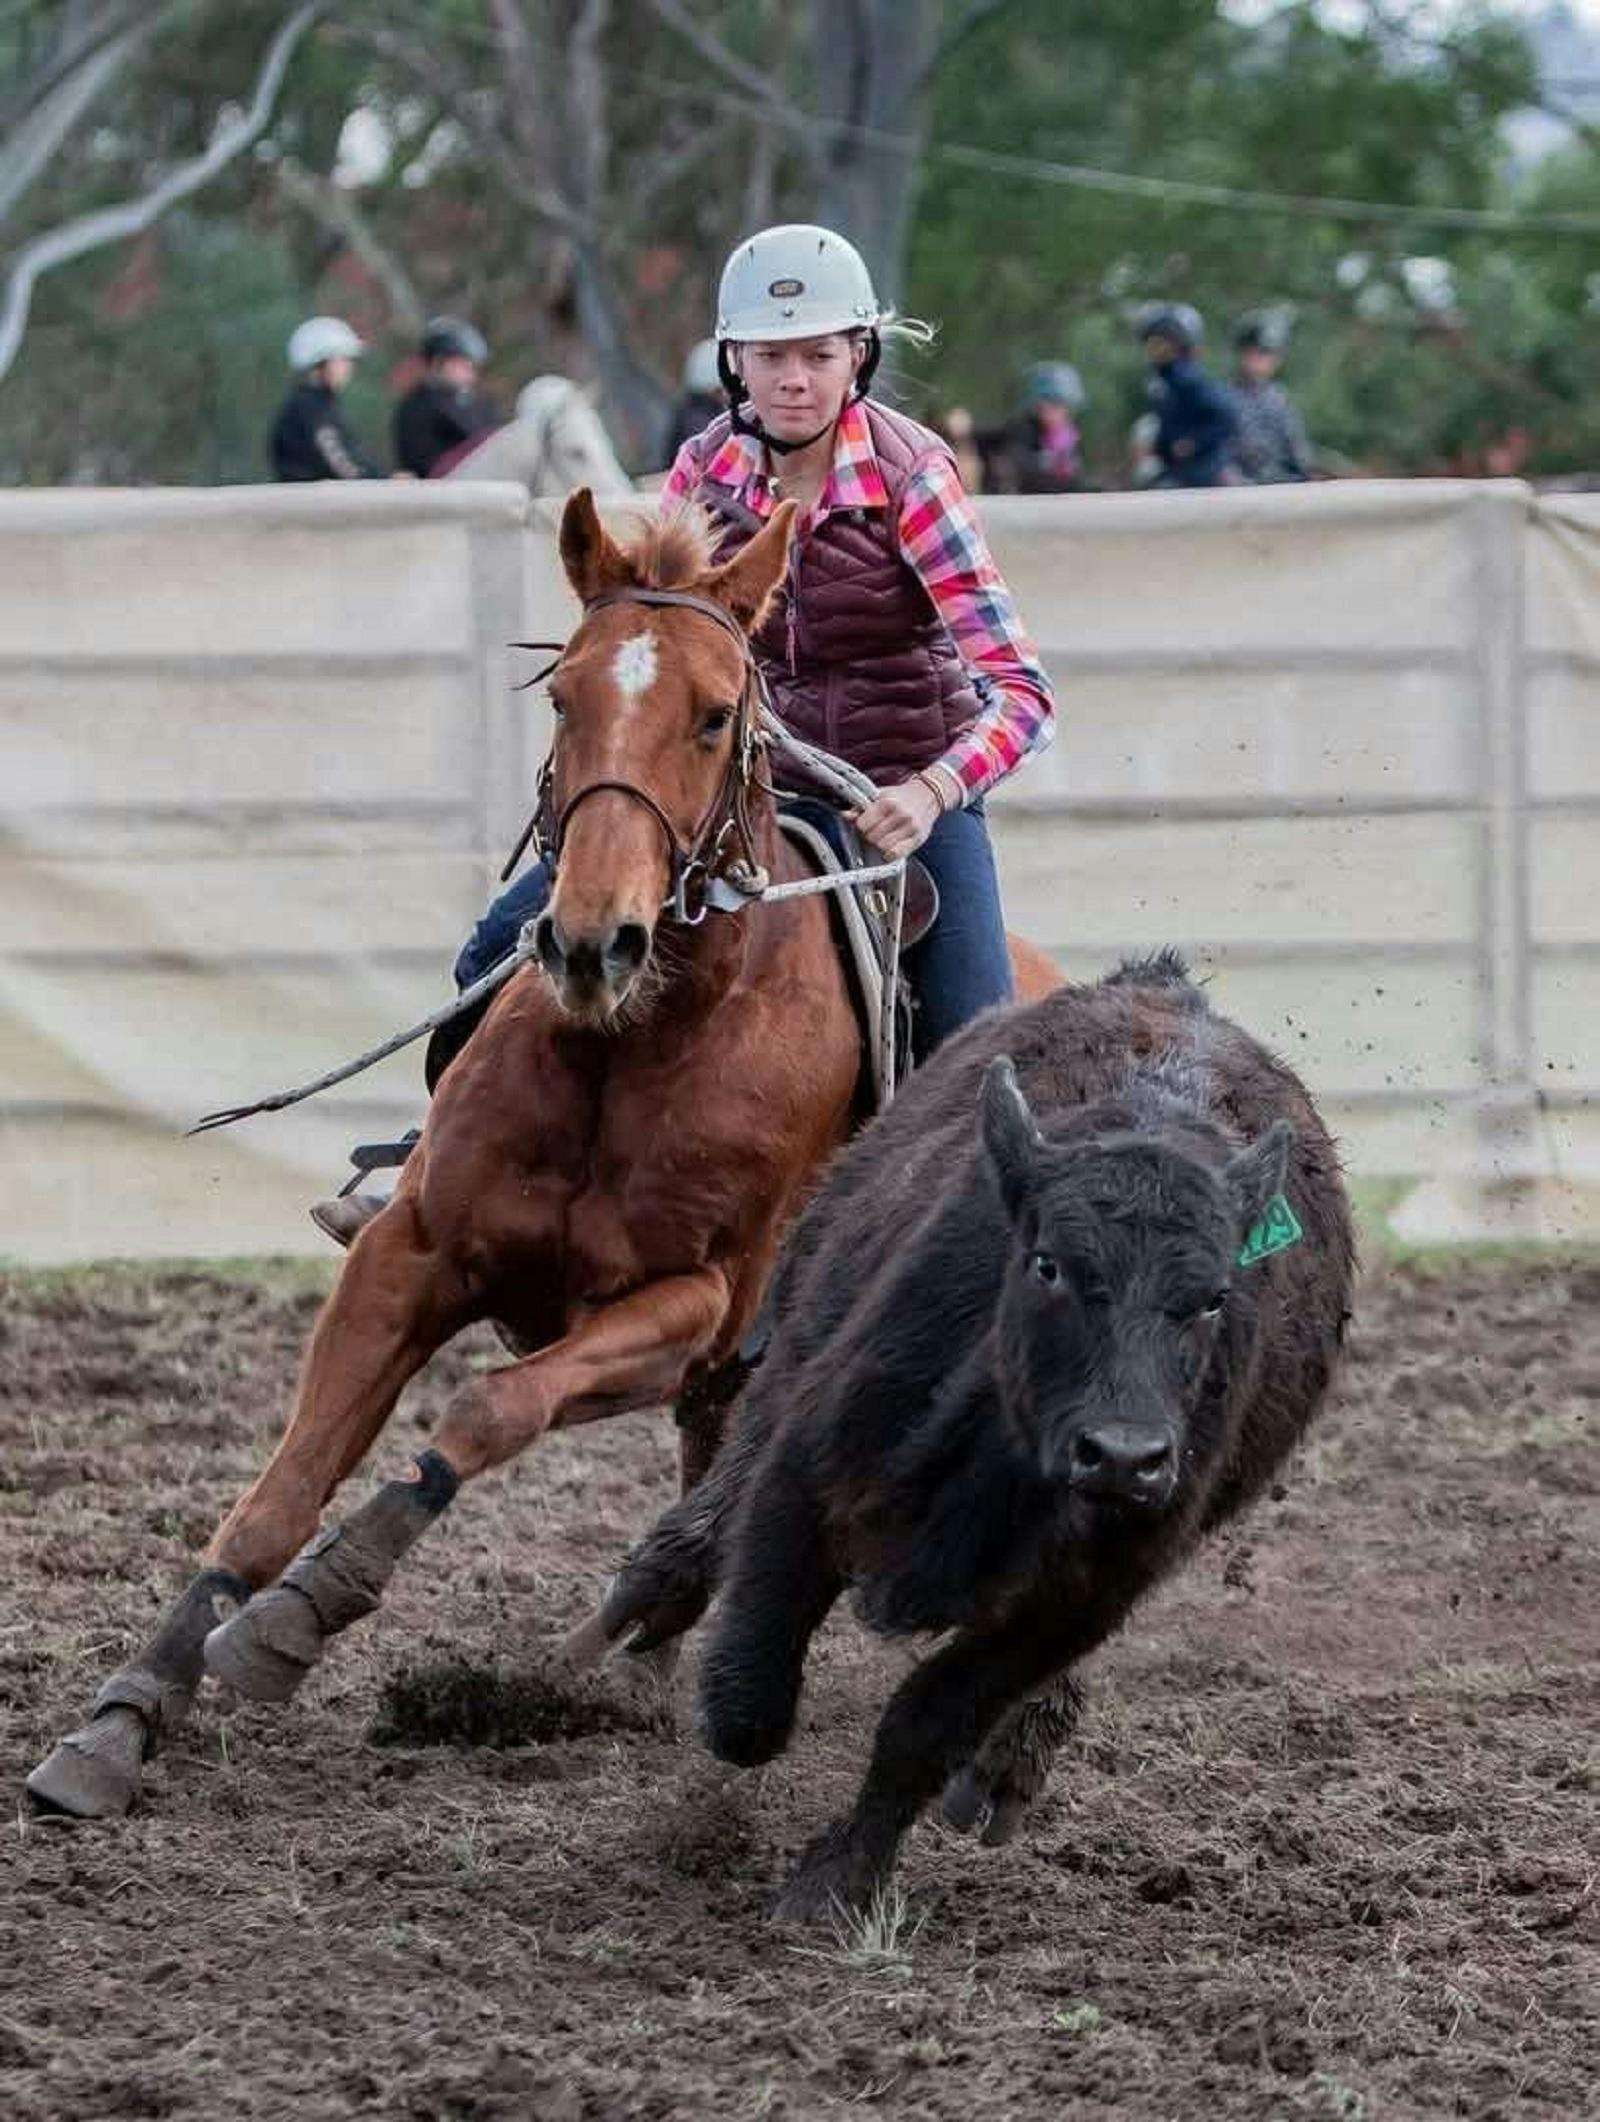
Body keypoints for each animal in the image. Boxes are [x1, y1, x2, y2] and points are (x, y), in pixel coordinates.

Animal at [28, 488, 1059, 1819]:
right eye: (564, 695)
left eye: (715, 713)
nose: (588, 941)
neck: (641, 1044)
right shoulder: (408, 1255)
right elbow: (278, 1493)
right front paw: (125, 1716)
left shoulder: (687, 1306)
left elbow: (488, 1407)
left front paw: (302, 1614)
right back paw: (643, 1662)